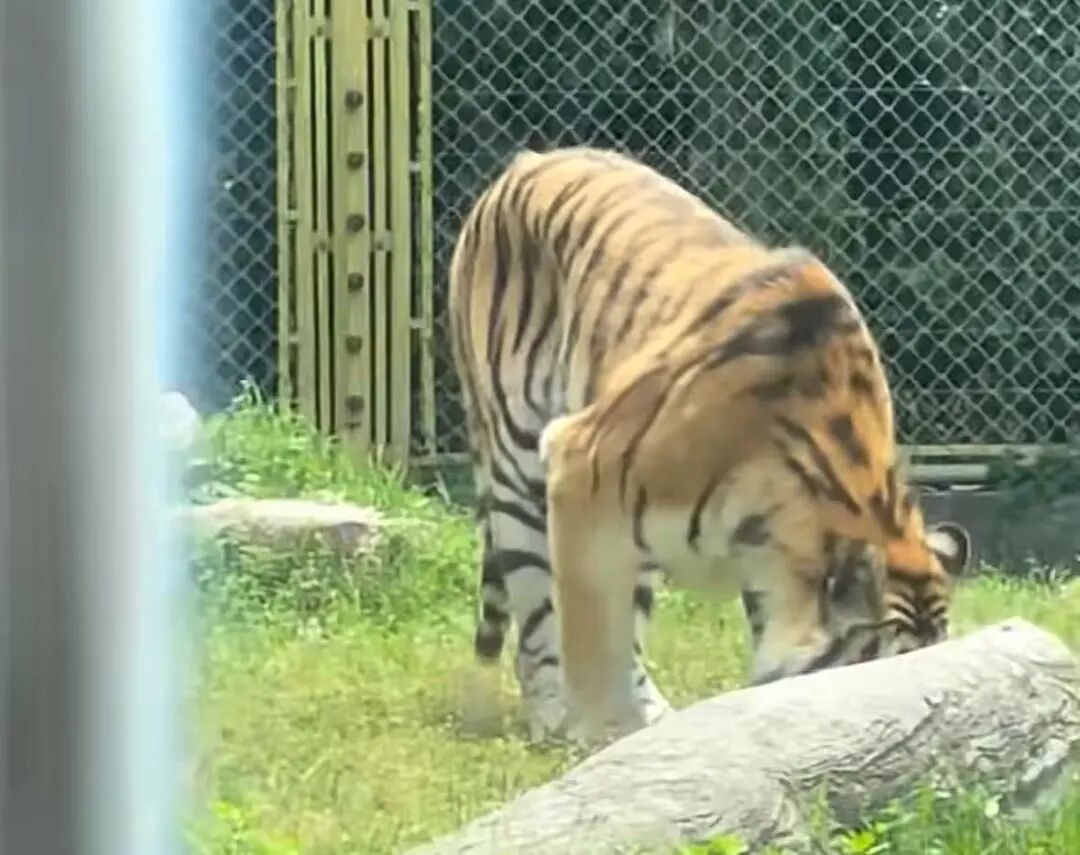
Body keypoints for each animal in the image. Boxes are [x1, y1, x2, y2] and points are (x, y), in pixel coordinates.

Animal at [448, 145, 972, 747]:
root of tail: (528, 159)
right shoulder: (579, 469)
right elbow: (591, 645)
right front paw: (601, 739)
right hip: (519, 467)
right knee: (537, 616)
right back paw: (554, 714)